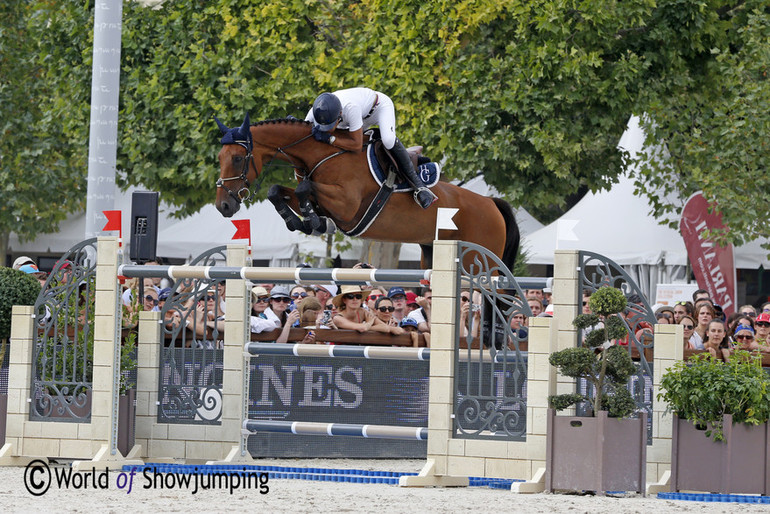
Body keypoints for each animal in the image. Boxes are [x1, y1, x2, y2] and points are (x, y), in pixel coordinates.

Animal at [213, 114, 520, 270]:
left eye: (237, 158)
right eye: (219, 157)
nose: (223, 206)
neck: (322, 154)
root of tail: (491, 203)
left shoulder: (346, 205)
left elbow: (304, 187)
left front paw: (312, 221)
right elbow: (278, 189)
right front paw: (302, 221)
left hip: (477, 259)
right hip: (431, 252)